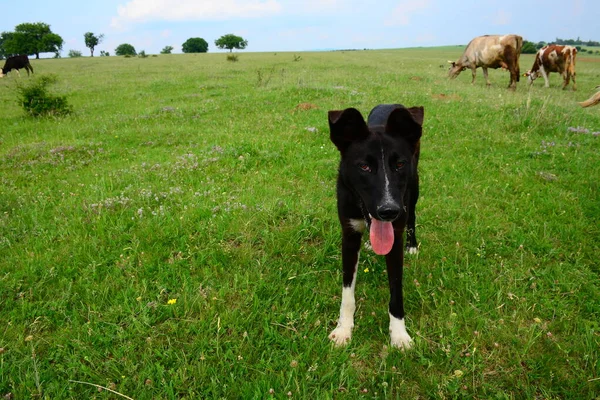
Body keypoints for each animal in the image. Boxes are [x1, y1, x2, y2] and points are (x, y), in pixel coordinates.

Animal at [326, 104, 424, 348]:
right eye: (364, 166)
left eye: (399, 164)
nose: (388, 211)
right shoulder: (349, 235)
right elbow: (347, 291)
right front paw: (343, 329)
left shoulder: (395, 236)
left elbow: (396, 290)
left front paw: (399, 334)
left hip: (414, 189)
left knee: (412, 216)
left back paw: (413, 245)